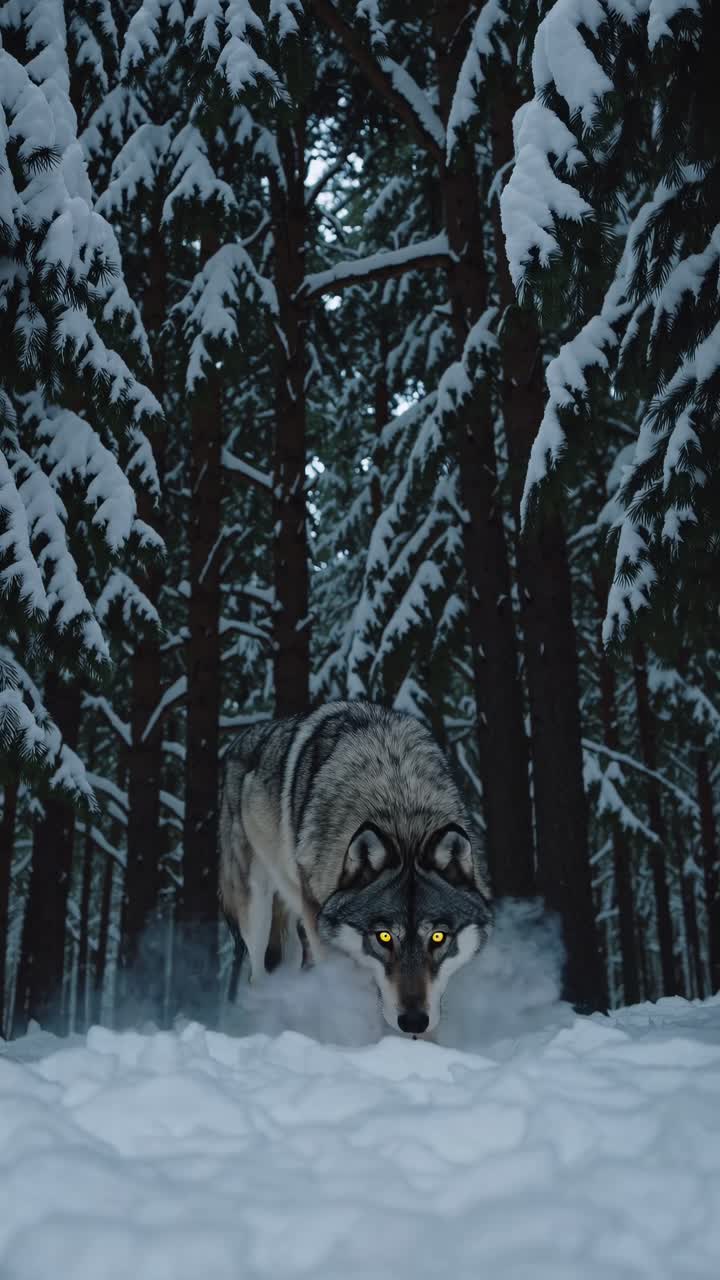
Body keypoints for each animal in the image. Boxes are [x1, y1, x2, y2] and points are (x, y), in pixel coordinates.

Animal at [219, 701, 492, 1035]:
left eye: (438, 937)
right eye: (384, 937)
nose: (413, 1022)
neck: (399, 807)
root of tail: (239, 740)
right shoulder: (322, 931)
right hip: (257, 908)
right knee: (257, 976)